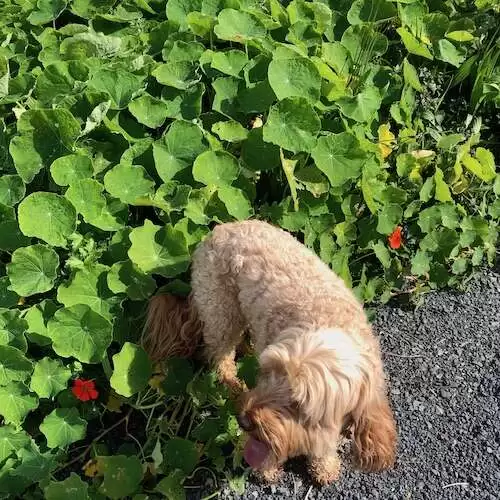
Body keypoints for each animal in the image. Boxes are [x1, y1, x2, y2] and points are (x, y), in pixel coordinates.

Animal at [143, 220, 396, 484]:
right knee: (220, 358)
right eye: (270, 373)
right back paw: (233, 384)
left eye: (298, 403)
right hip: (221, 312)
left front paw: (324, 465)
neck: (332, 322)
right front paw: (267, 469)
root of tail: (219, 229)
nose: (243, 420)